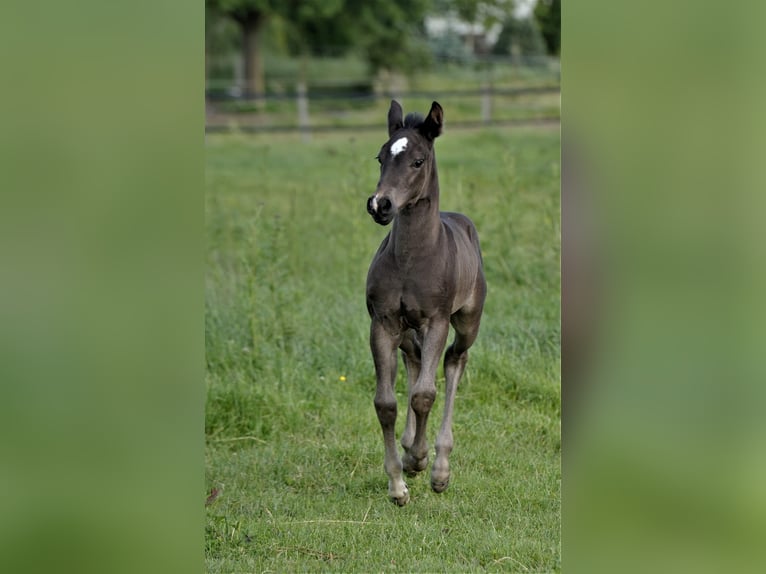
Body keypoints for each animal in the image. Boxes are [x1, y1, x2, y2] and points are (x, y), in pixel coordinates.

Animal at [366, 101, 486, 506]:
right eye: (381, 157)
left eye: (417, 161)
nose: (380, 204)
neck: (412, 260)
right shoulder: (383, 324)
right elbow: (386, 403)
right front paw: (398, 482)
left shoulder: (436, 321)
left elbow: (423, 394)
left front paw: (420, 461)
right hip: (407, 332)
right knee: (415, 360)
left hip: (466, 322)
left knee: (454, 362)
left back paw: (439, 465)